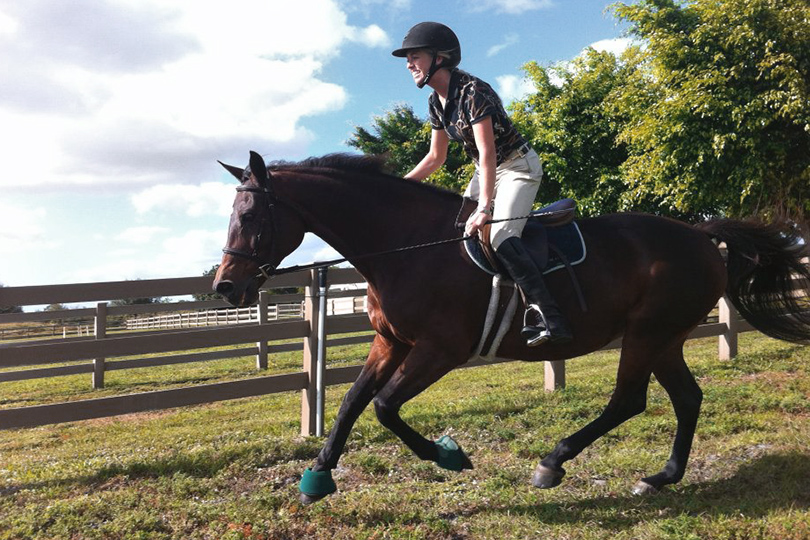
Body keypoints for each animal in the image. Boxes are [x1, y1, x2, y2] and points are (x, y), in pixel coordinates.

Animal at [213, 151, 808, 502]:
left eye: (250, 216)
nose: (225, 287)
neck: (406, 247)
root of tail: (702, 236)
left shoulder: (439, 350)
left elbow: (383, 408)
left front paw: (448, 455)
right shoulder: (391, 343)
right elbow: (350, 403)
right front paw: (318, 474)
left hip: (647, 335)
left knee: (629, 401)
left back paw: (553, 463)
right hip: (664, 339)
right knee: (686, 398)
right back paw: (661, 476)